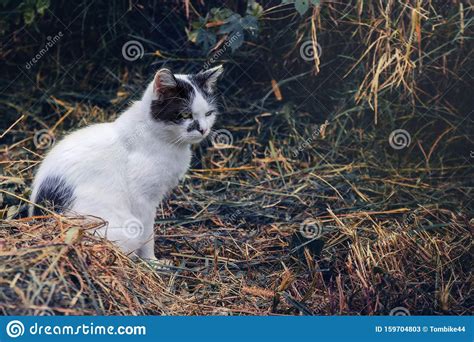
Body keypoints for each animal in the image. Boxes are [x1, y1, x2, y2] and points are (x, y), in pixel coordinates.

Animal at [29, 66, 224, 260]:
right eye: (185, 114)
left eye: (208, 113)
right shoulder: (142, 199)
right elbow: (147, 234)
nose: (204, 129)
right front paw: (151, 261)